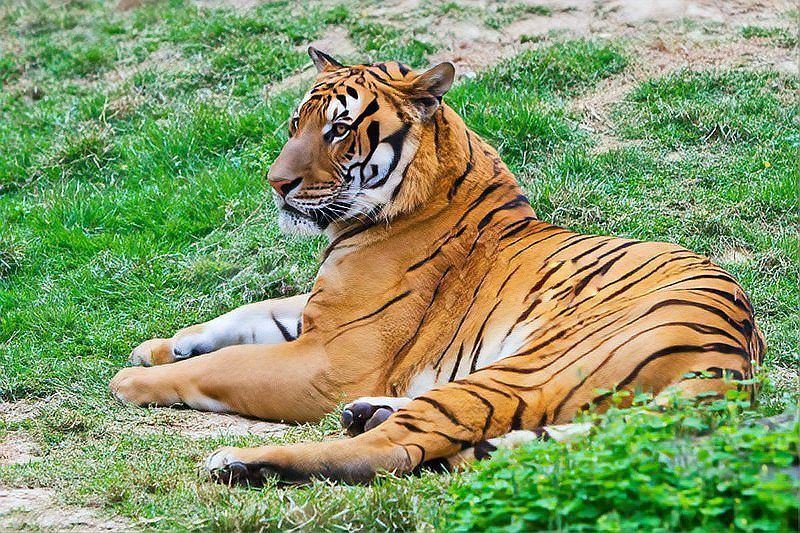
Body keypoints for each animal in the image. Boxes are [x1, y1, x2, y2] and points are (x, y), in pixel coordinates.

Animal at [110, 47, 765, 484]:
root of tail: (734, 365)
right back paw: (367, 410)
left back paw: (242, 461)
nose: (277, 184)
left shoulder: (330, 360)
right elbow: (251, 312)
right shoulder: (320, 314)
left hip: (535, 362)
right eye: (296, 124)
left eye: (339, 129)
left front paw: (134, 380)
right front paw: (161, 346)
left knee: (399, 449)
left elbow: (225, 365)